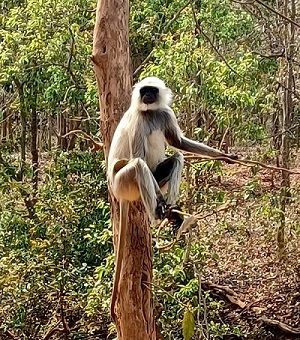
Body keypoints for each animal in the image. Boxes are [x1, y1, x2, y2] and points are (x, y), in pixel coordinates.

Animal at [107, 77, 237, 322]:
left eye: (151, 91)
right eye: (144, 91)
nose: (147, 96)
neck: (150, 112)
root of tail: (118, 192)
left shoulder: (164, 113)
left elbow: (178, 142)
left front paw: (224, 155)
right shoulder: (138, 121)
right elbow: (139, 155)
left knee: (177, 157)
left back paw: (175, 214)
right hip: (123, 181)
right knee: (138, 165)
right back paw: (158, 214)